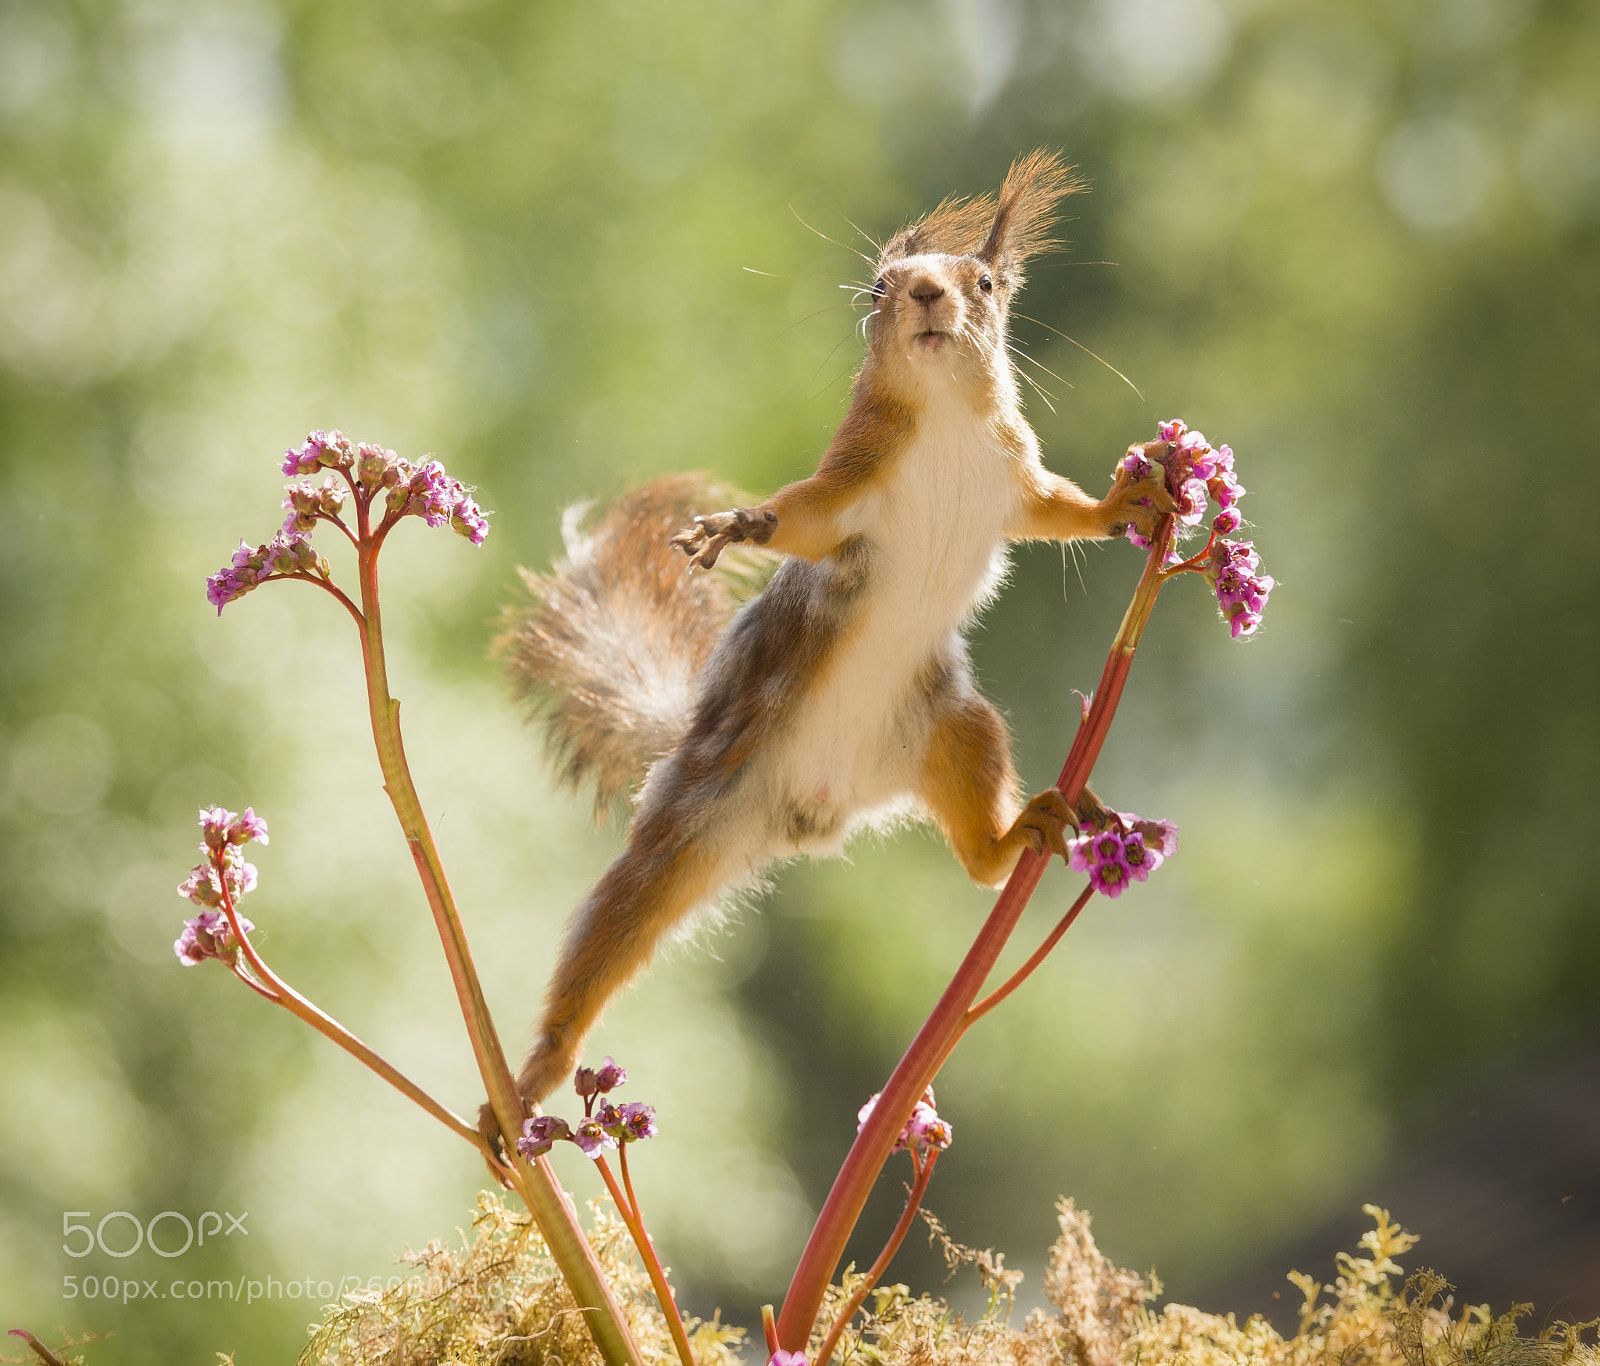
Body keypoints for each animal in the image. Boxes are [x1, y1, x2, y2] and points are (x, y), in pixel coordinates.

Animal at [483, 151, 1172, 1144]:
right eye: (882, 286)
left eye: (984, 283)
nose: (924, 292)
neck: (946, 427)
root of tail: (815, 814)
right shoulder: (853, 482)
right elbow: (801, 520)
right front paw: (742, 525)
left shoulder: (1014, 479)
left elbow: (1059, 512)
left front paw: (1130, 503)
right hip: (686, 823)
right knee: (615, 929)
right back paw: (536, 1071)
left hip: (950, 730)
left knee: (975, 855)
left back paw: (1019, 836)